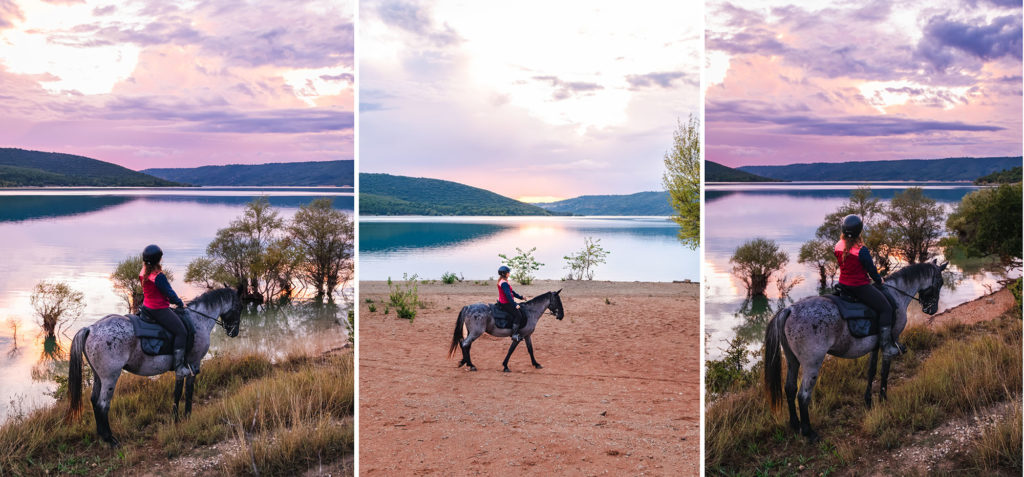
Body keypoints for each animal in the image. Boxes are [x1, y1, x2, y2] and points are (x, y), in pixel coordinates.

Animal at [64, 286, 243, 446]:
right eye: (239, 307)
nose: (234, 332)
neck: (197, 320)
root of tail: (91, 328)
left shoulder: (184, 369)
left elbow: (179, 391)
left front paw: (178, 418)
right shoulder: (194, 364)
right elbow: (187, 391)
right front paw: (185, 416)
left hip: (98, 377)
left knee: (94, 401)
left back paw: (102, 436)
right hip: (110, 378)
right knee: (102, 404)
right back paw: (111, 440)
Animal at [765, 258, 946, 442]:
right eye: (940, 282)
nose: (931, 310)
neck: (895, 295)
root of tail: (789, 309)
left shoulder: (875, 346)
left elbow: (871, 371)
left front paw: (868, 401)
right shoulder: (889, 346)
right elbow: (884, 372)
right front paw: (883, 399)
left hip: (792, 360)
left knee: (790, 388)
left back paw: (795, 425)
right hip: (812, 364)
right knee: (803, 396)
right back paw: (809, 432)